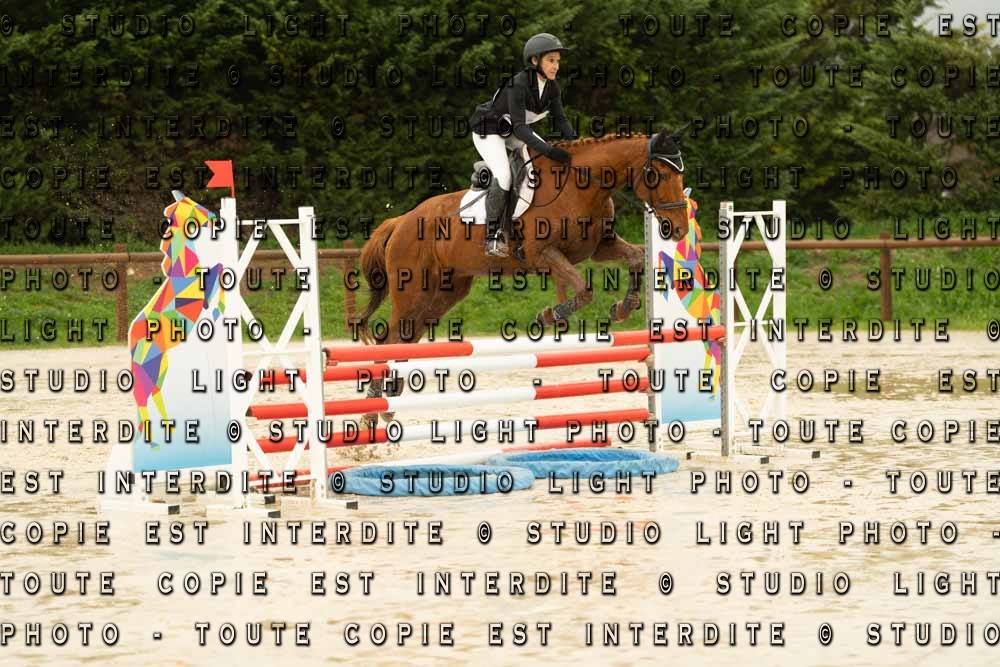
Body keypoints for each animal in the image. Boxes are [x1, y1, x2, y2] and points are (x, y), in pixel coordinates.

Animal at [354, 127, 691, 427]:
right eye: (659, 175)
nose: (678, 229)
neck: (581, 186)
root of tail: (400, 221)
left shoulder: (600, 248)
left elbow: (634, 257)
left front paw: (625, 306)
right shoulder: (543, 253)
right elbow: (584, 291)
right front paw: (549, 315)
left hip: (444, 293)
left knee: (406, 339)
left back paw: (388, 407)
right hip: (412, 290)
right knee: (389, 339)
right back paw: (372, 408)